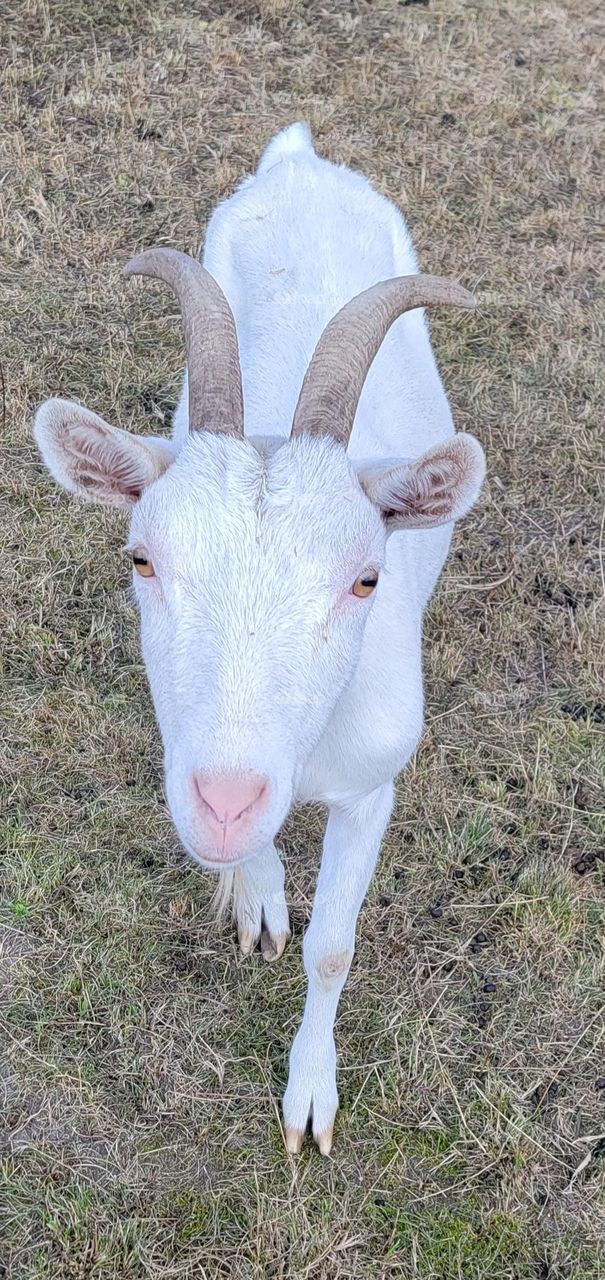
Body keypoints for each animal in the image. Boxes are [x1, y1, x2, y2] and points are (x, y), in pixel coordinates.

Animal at [34, 122, 485, 1155]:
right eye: (142, 559)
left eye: (365, 578)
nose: (228, 801)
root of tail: (300, 160)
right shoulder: (188, 741)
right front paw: (257, 893)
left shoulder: (372, 787)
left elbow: (333, 949)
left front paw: (309, 1098)